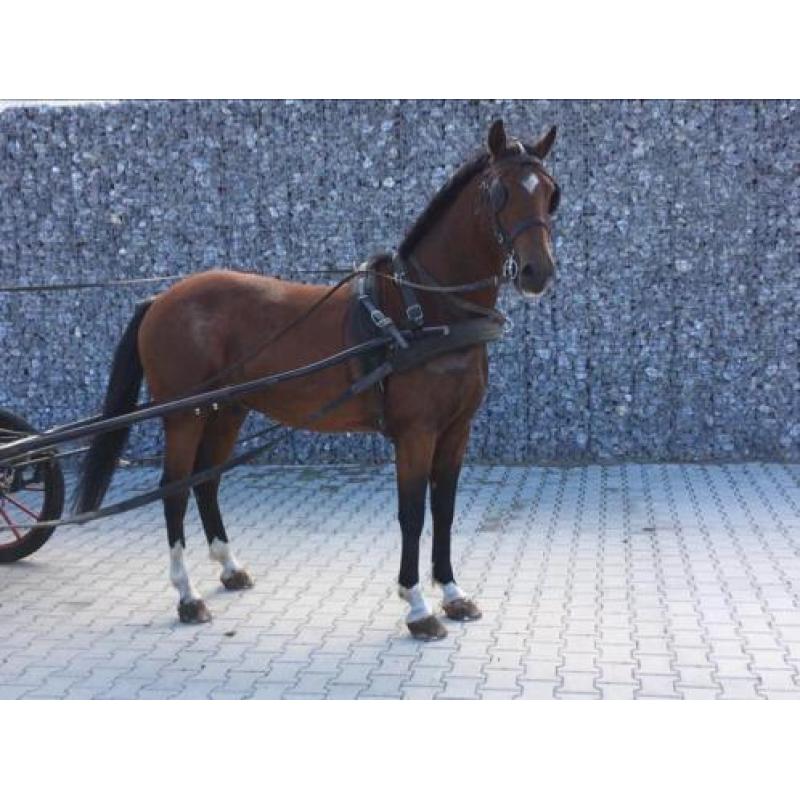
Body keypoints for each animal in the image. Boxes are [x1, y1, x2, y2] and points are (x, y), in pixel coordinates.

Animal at [74, 118, 560, 640]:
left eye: (551, 193)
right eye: (500, 192)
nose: (537, 272)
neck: (423, 310)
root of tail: (161, 299)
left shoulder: (456, 430)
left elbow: (445, 509)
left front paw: (452, 593)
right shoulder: (416, 433)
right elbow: (412, 513)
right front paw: (417, 606)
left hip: (227, 410)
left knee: (207, 482)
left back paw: (230, 568)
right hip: (185, 415)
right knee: (175, 491)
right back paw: (188, 596)